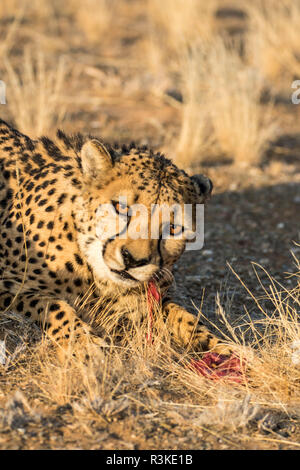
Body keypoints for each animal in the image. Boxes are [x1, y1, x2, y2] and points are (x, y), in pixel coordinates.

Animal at [0, 119, 231, 358]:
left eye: (174, 228)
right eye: (121, 207)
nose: (133, 261)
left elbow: (185, 317)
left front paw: (224, 347)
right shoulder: (8, 287)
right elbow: (54, 306)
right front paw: (85, 346)